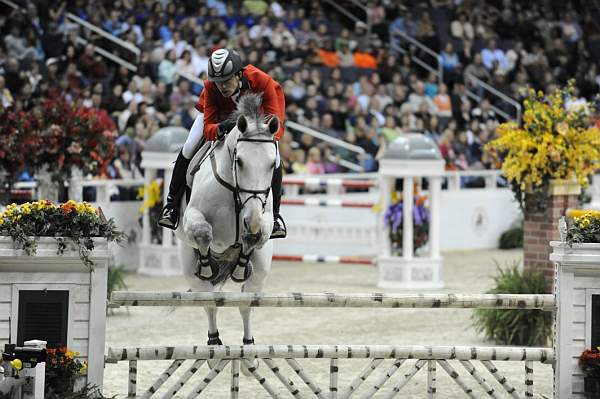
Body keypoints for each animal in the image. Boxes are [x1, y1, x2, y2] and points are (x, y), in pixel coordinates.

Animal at [173, 94, 276, 346]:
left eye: (272, 164)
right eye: (239, 161)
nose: (251, 219)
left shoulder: (265, 220)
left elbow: (255, 236)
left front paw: (240, 267)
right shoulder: (193, 216)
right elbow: (203, 233)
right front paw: (207, 265)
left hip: (260, 270)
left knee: (245, 305)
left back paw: (249, 347)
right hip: (189, 268)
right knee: (209, 303)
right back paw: (214, 342)